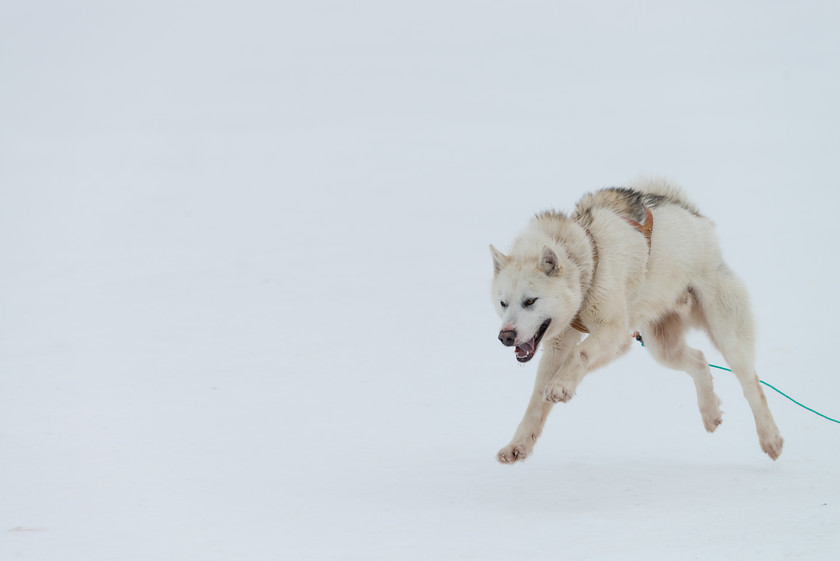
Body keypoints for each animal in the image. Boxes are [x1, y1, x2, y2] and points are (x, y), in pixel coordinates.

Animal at [488, 180, 784, 464]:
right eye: (503, 303)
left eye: (530, 301)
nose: (506, 336)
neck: (588, 259)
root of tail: (694, 217)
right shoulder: (558, 345)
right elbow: (536, 402)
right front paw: (518, 446)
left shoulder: (615, 333)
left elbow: (579, 353)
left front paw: (562, 385)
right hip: (662, 347)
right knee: (700, 361)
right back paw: (710, 412)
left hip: (727, 337)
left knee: (752, 386)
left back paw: (770, 437)